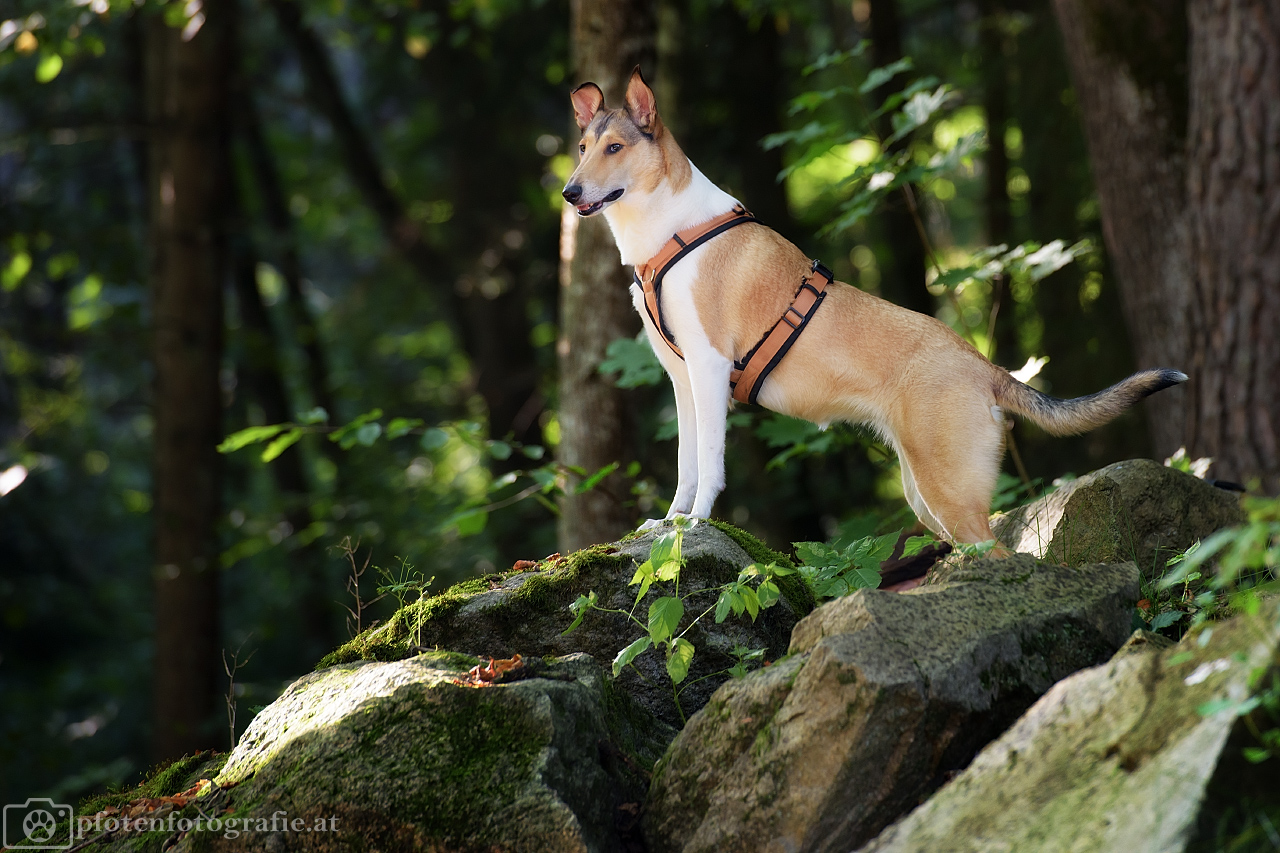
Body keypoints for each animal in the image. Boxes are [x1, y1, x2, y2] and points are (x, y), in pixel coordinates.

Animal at [565, 66, 1182, 545]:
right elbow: (686, 463)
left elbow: (711, 465)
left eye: (615, 148)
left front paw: (694, 525)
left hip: (948, 493)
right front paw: (668, 524)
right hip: (926, 498)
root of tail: (983, 365)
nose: (569, 192)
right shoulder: (683, 378)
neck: (670, 232)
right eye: (582, 148)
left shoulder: (711, 368)